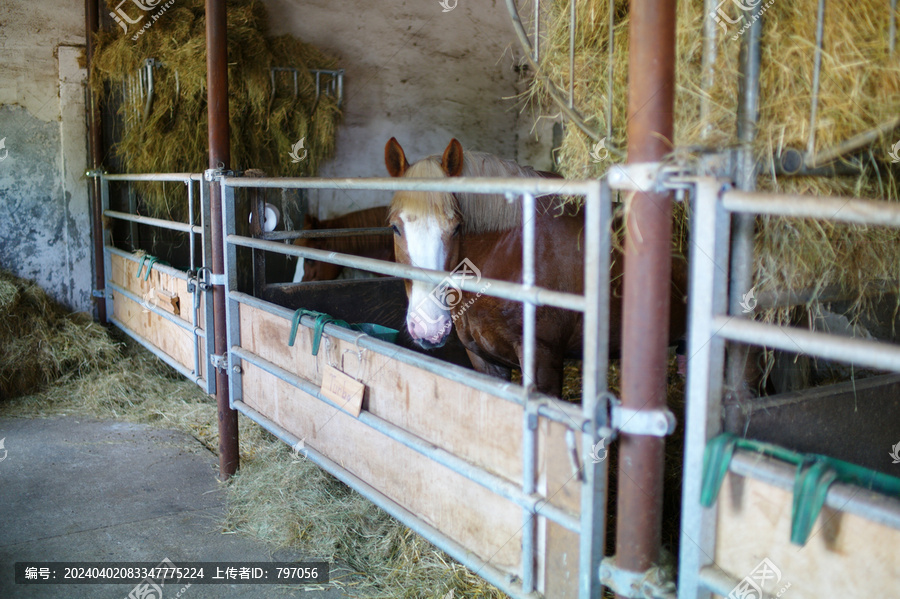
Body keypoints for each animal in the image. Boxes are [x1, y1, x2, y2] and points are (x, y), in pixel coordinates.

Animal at [384, 137, 684, 398]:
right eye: (395, 227)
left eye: (457, 227)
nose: (429, 327)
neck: (511, 247)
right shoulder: (484, 359)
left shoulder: (543, 358)